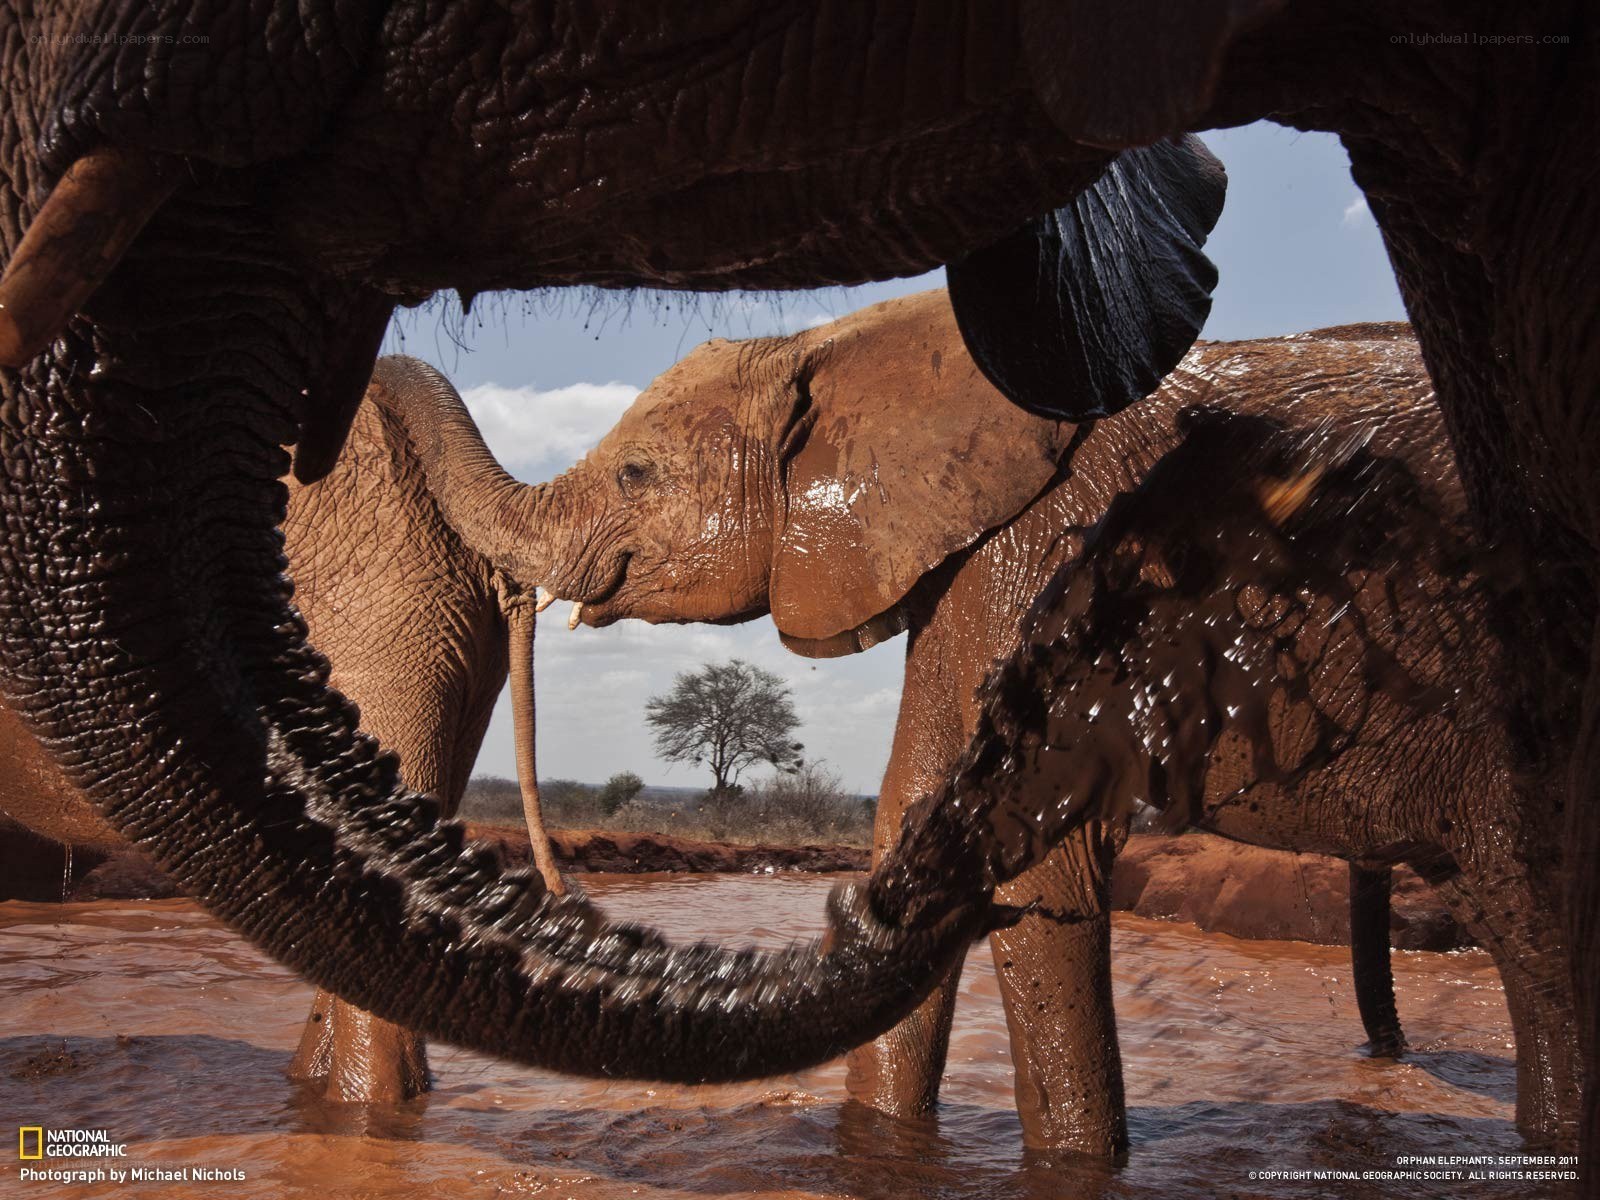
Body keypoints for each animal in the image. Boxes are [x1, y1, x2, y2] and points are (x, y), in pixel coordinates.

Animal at [383, 287, 1575, 1151]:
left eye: (637, 471)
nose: (387, 366)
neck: (840, 342)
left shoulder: (1045, 553)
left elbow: (1030, 861)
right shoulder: (971, 569)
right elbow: (913, 819)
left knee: (1534, 919)